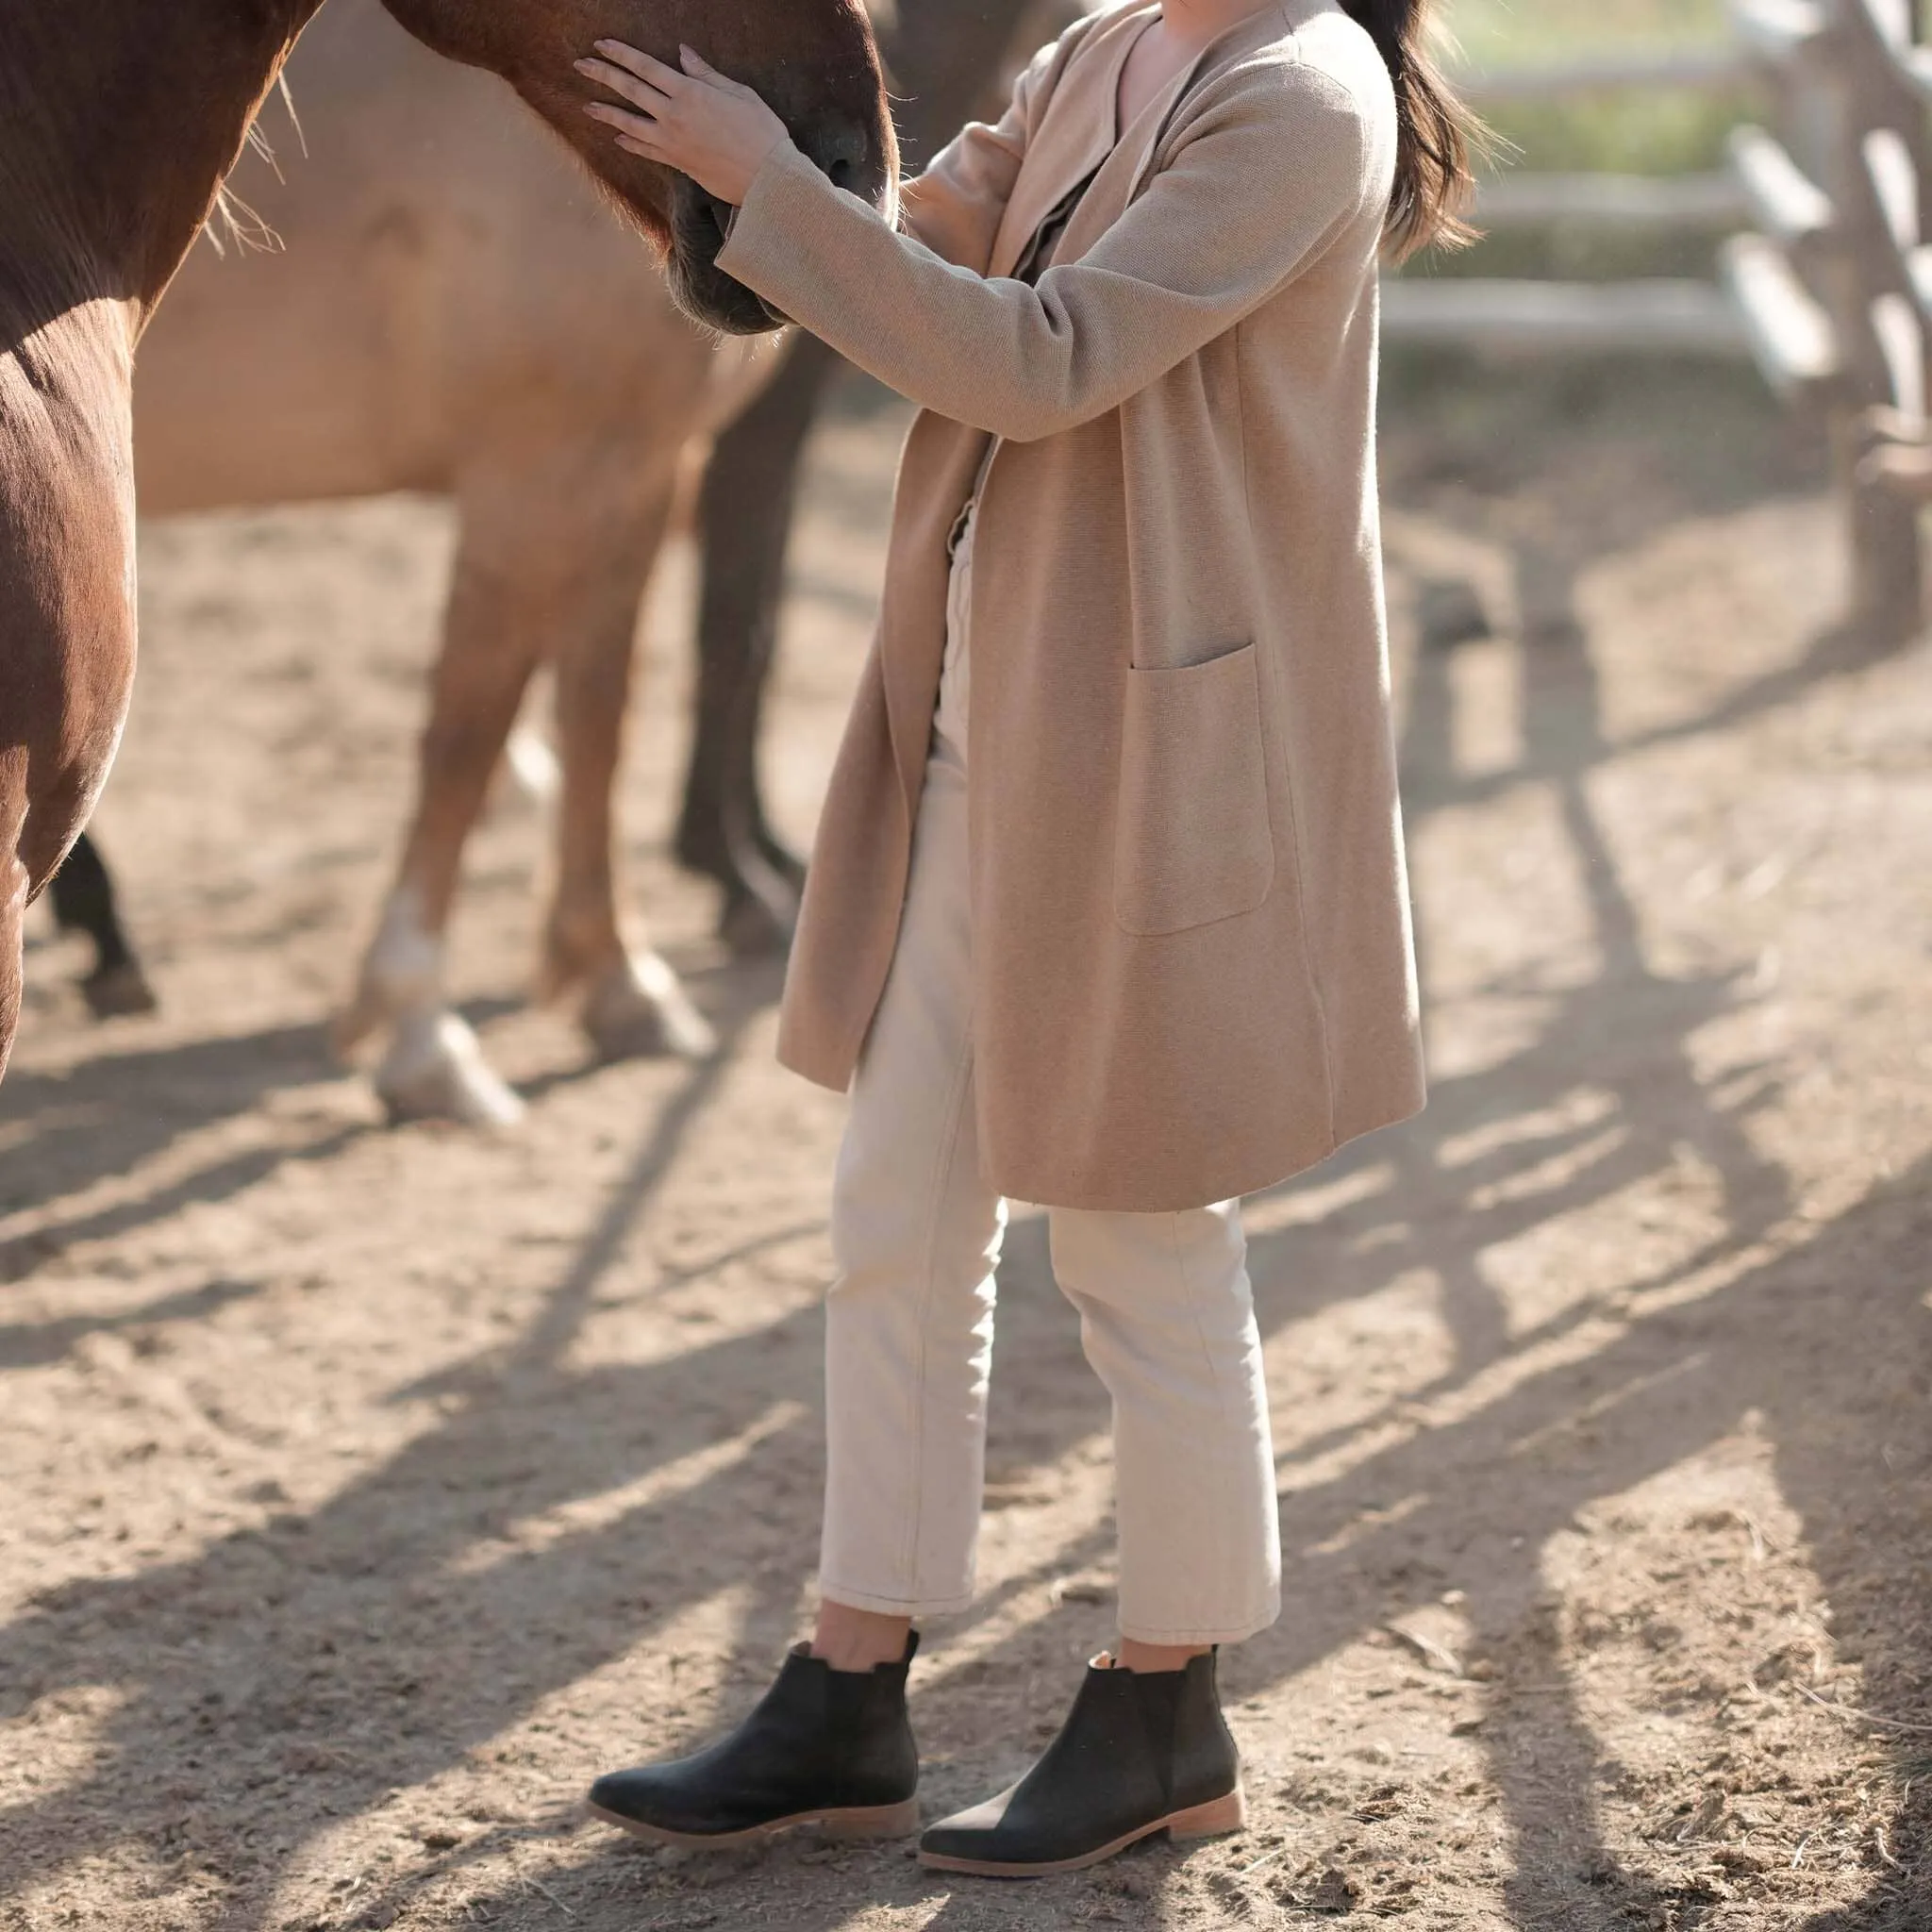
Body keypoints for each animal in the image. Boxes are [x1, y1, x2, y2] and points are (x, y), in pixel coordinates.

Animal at [0, 0, 889, 1090]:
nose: (849, 170)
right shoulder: (539, 468)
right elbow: (474, 725)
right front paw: (422, 1022)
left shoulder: (634, 462)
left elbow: (599, 711)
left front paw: (617, 979)